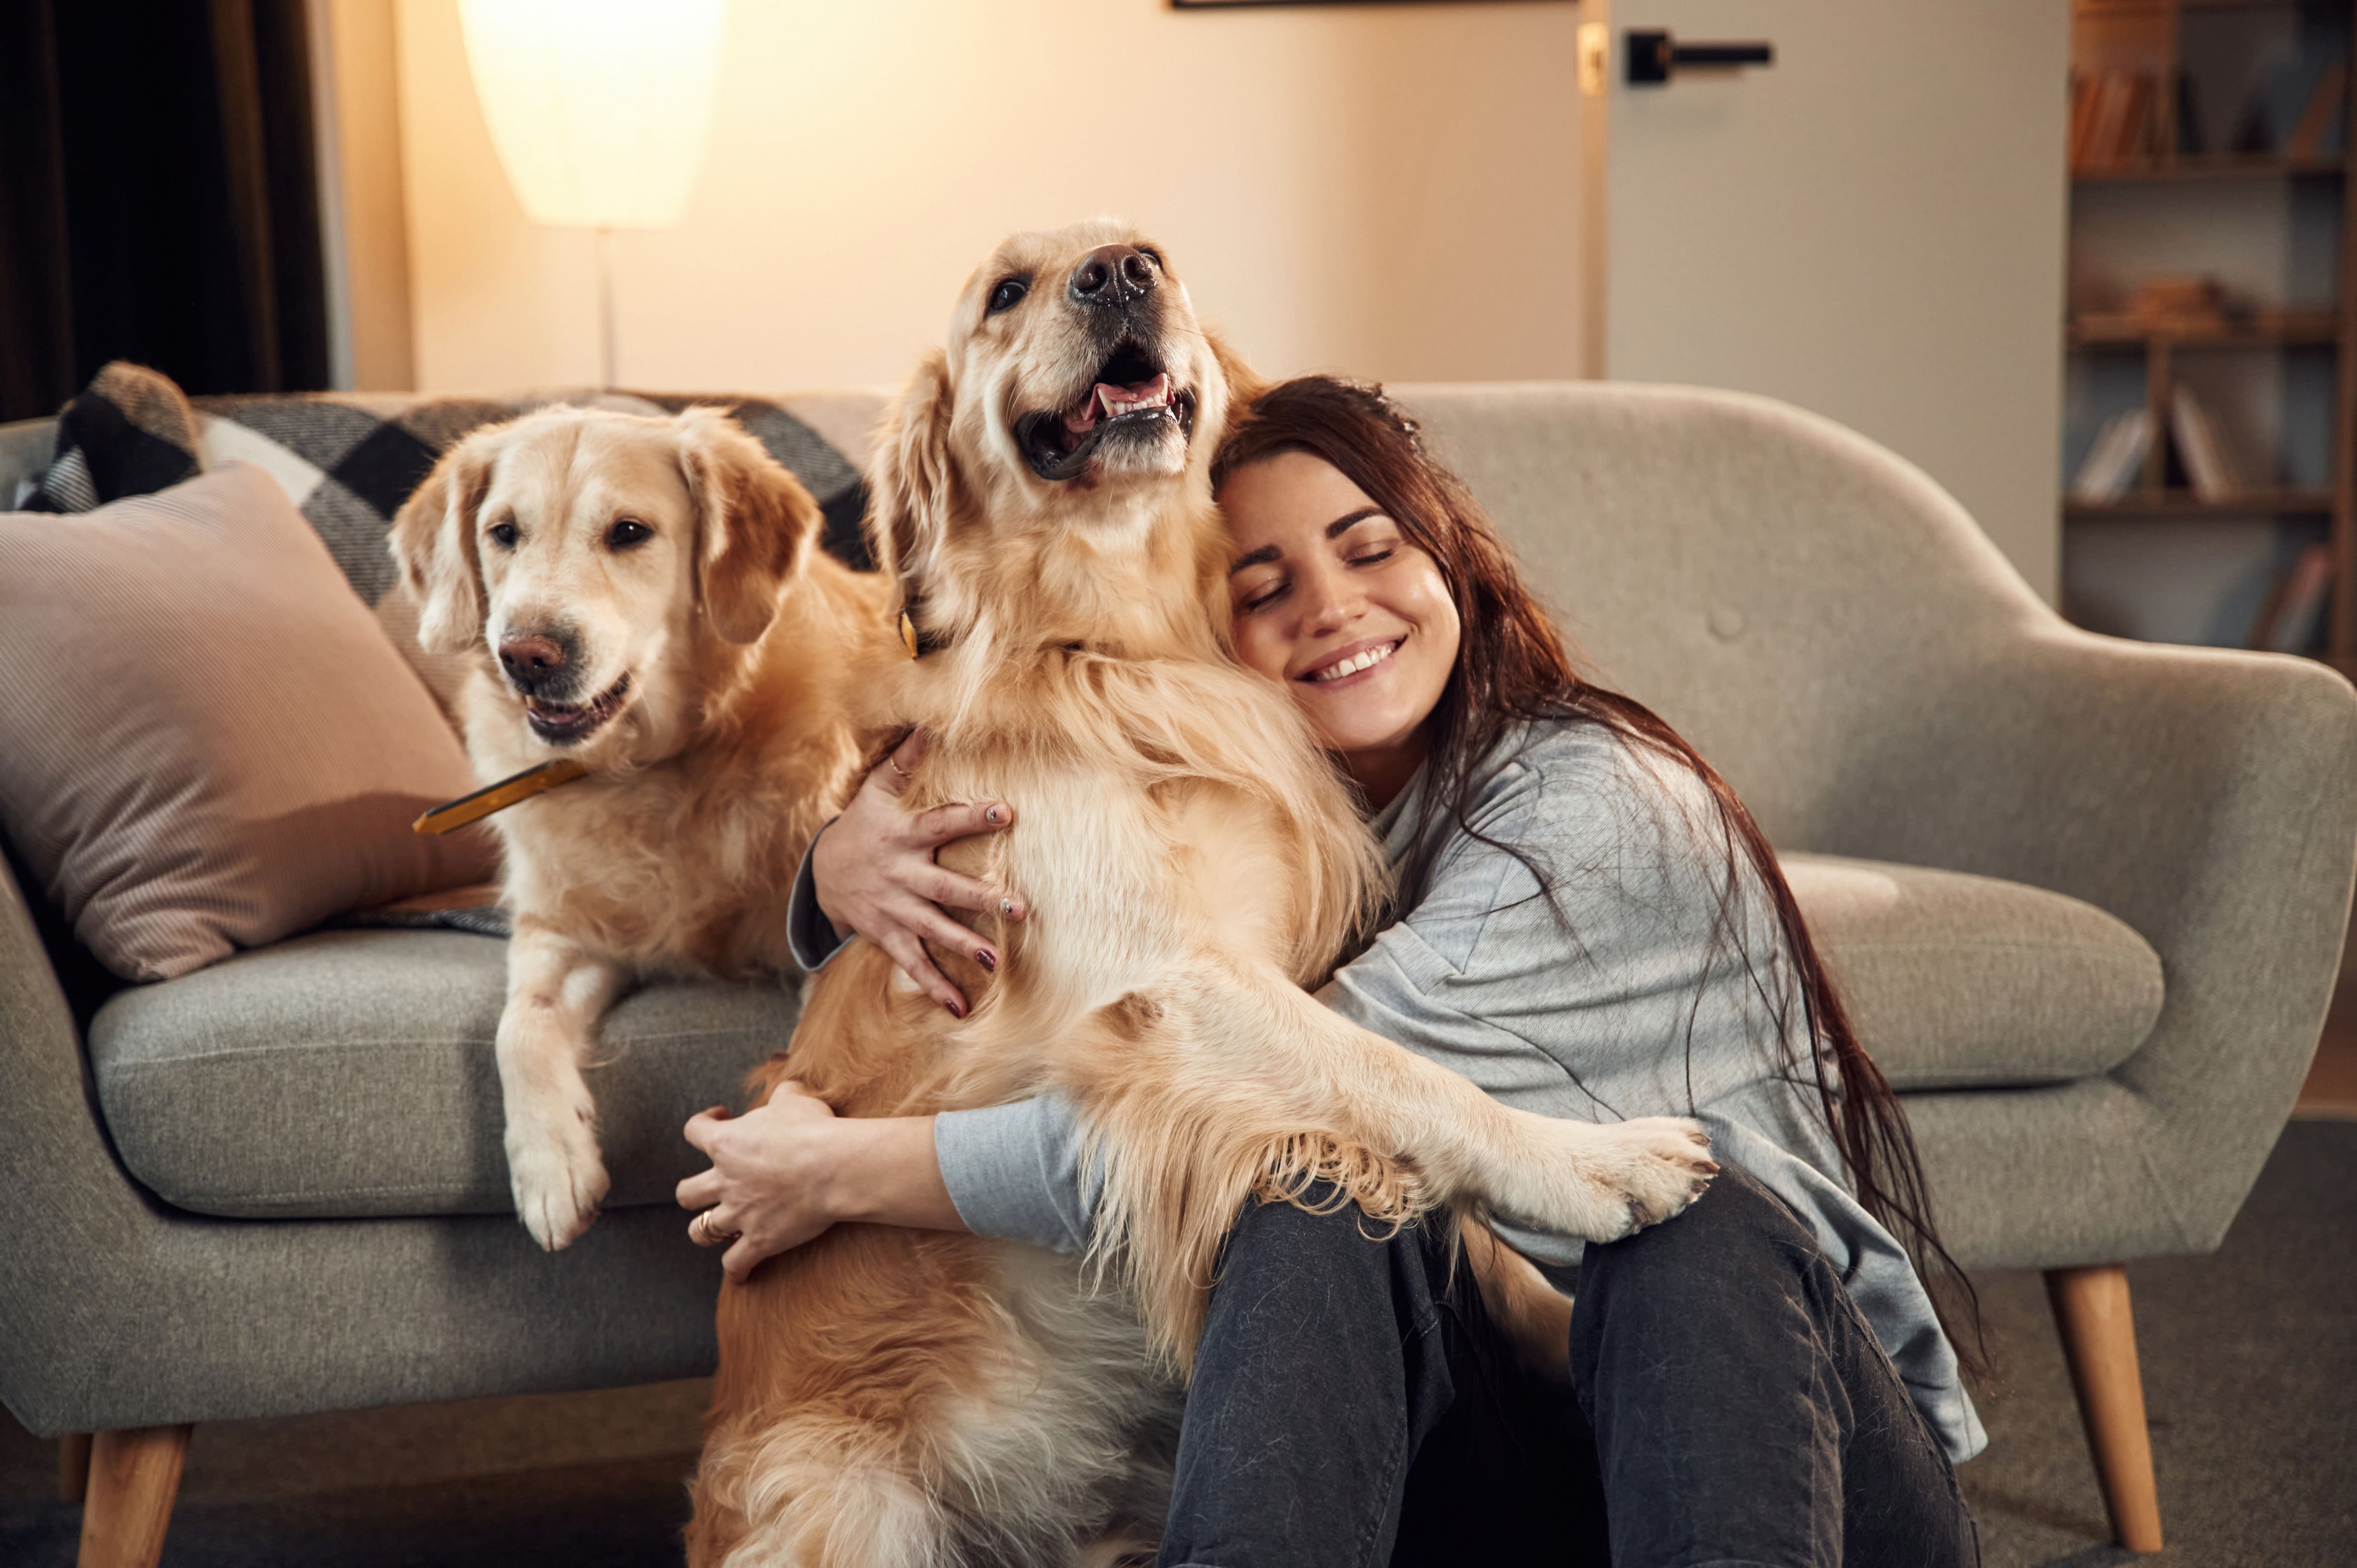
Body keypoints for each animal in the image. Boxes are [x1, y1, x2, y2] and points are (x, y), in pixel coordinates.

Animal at [391, 405, 886, 1245]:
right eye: (503, 532)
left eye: (629, 532)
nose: (525, 655)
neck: (649, 768)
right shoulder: (565, 929)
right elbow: (519, 1024)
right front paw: (550, 1165)